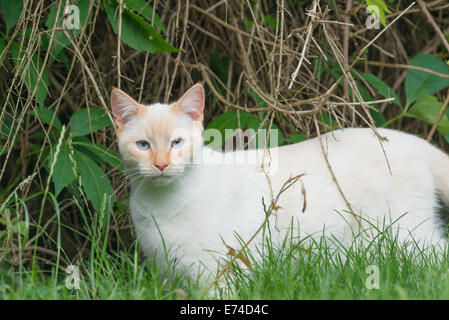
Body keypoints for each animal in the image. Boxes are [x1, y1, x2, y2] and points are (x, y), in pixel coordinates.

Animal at [111, 83, 448, 282]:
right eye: (143, 145)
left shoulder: (219, 275)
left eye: (177, 143)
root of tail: (411, 140)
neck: (159, 206)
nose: (161, 164)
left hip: (406, 238)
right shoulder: (169, 275)